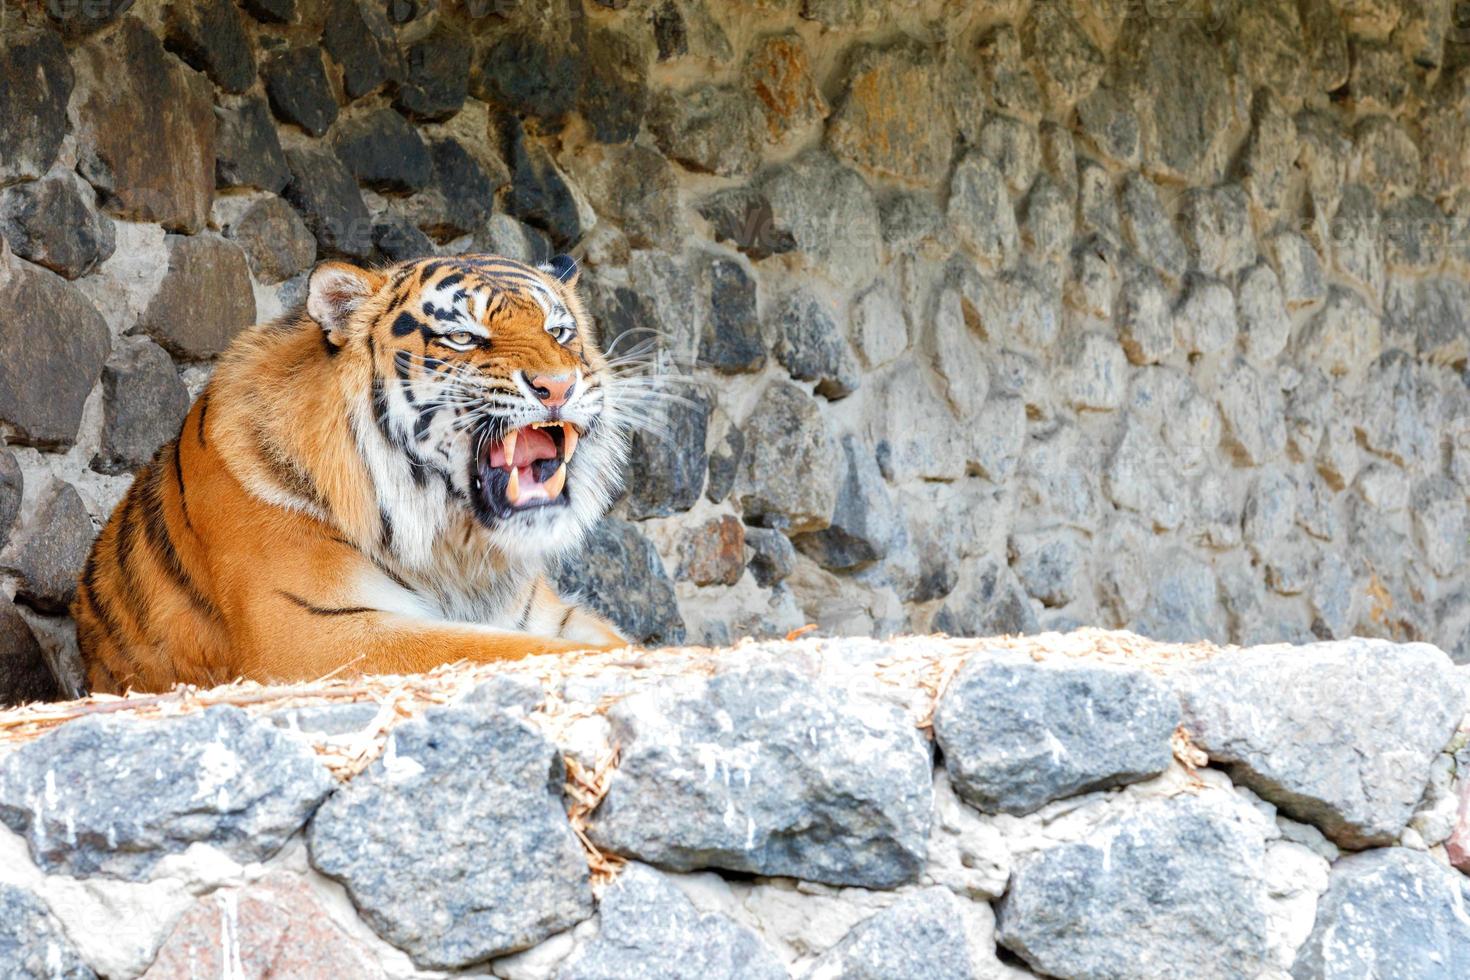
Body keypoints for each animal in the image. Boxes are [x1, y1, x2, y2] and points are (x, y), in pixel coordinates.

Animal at [74, 255, 637, 696]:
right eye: (462, 337)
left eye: (558, 332)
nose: (559, 386)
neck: (458, 549)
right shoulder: (319, 633)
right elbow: (506, 650)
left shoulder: (546, 613)